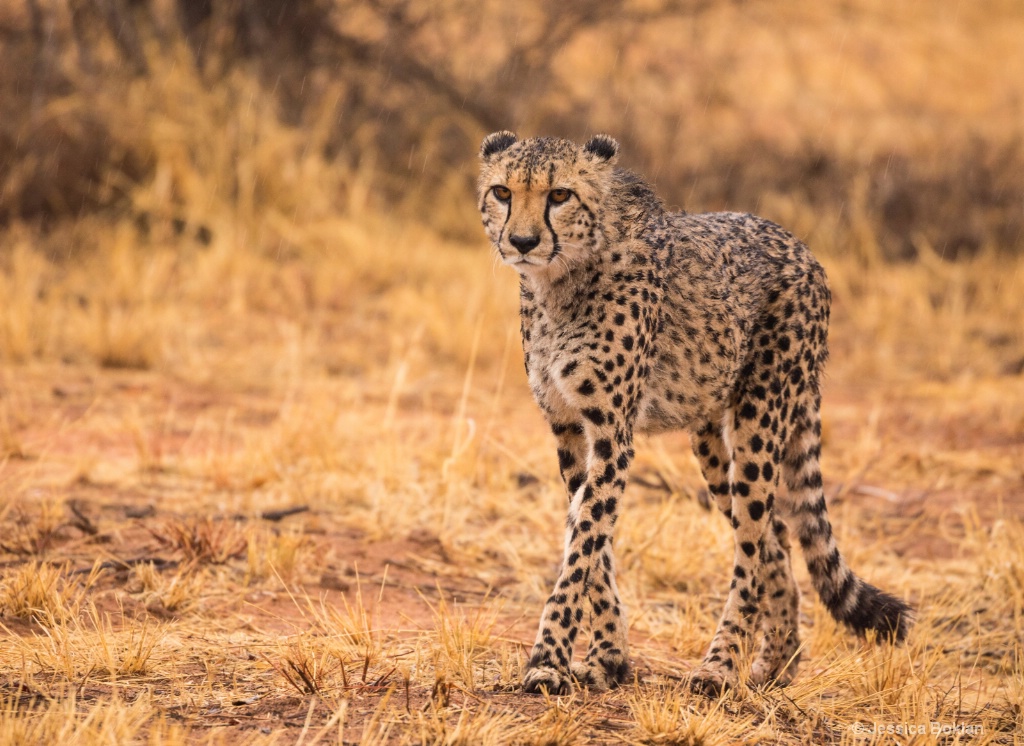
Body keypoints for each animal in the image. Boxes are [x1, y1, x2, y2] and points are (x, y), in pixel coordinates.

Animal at [473, 130, 913, 695]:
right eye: (503, 192)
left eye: (560, 195)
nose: (523, 242)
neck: (562, 279)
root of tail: (801, 247)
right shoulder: (569, 429)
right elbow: (592, 543)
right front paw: (608, 658)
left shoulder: (613, 433)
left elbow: (583, 546)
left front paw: (548, 659)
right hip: (709, 440)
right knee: (775, 537)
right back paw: (777, 664)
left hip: (760, 420)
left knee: (752, 545)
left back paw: (720, 666)